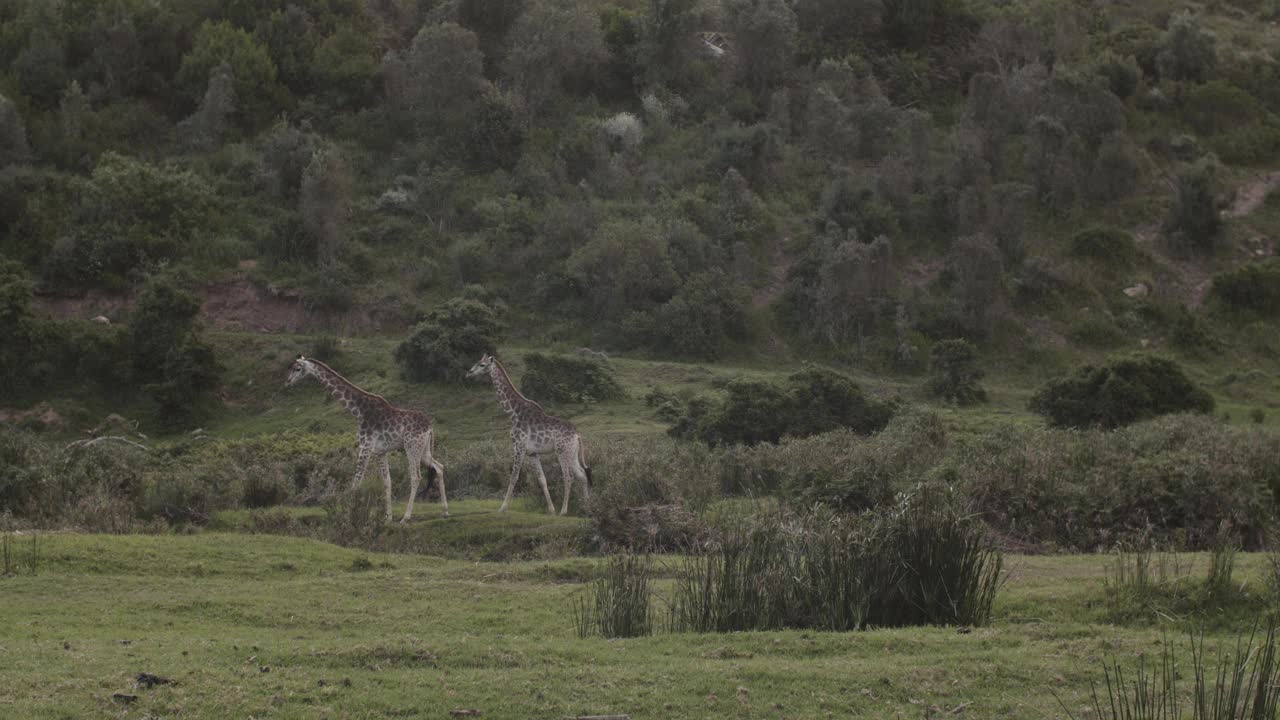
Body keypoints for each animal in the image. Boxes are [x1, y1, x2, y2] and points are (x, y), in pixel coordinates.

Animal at [286, 353, 450, 517]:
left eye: (297, 368)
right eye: (292, 367)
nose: (288, 382)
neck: (358, 411)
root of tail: (430, 427)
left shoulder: (365, 447)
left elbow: (356, 482)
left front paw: (348, 514)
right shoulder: (380, 451)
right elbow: (387, 481)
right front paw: (388, 517)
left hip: (412, 446)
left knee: (416, 476)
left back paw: (406, 517)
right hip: (424, 449)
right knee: (439, 467)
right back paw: (445, 510)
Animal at [468, 351, 591, 509]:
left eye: (482, 365)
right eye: (476, 362)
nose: (469, 373)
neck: (513, 413)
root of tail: (577, 435)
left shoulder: (519, 447)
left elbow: (514, 477)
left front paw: (503, 507)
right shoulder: (532, 453)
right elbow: (542, 479)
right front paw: (551, 509)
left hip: (562, 451)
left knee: (568, 478)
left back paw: (564, 511)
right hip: (572, 453)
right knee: (582, 475)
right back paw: (587, 506)